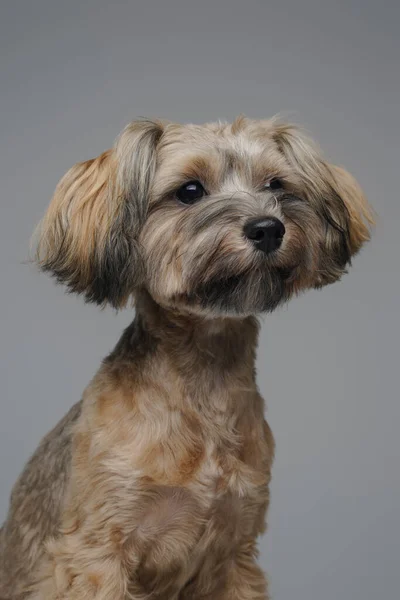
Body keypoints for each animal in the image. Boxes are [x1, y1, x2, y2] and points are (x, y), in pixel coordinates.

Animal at [0, 115, 372, 596]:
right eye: (190, 191)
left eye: (276, 184)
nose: (268, 228)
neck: (203, 385)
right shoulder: (97, 554)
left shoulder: (235, 552)